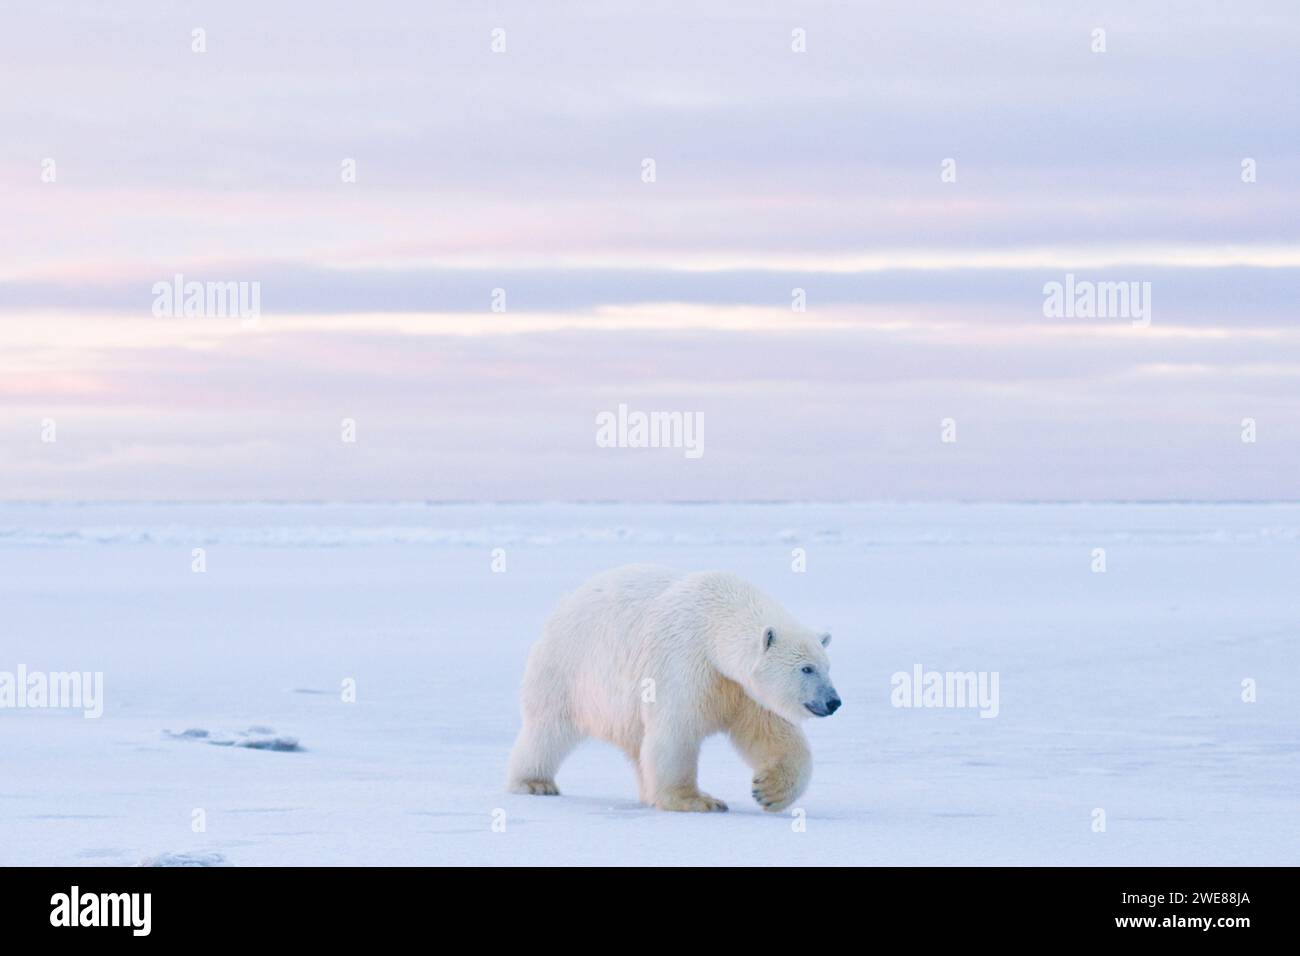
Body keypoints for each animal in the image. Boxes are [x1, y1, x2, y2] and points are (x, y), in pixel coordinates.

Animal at [501, 564, 837, 811]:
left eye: (827, 666)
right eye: (806, 668)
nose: (834, 701)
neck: (715, 619)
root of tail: (564, 602)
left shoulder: (739, 687)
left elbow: (772, 731)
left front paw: (769, 791)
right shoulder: (686, 660)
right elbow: (676, 730)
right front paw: (698, 800)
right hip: (568, 670)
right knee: (548, 728)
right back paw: (535, 783)